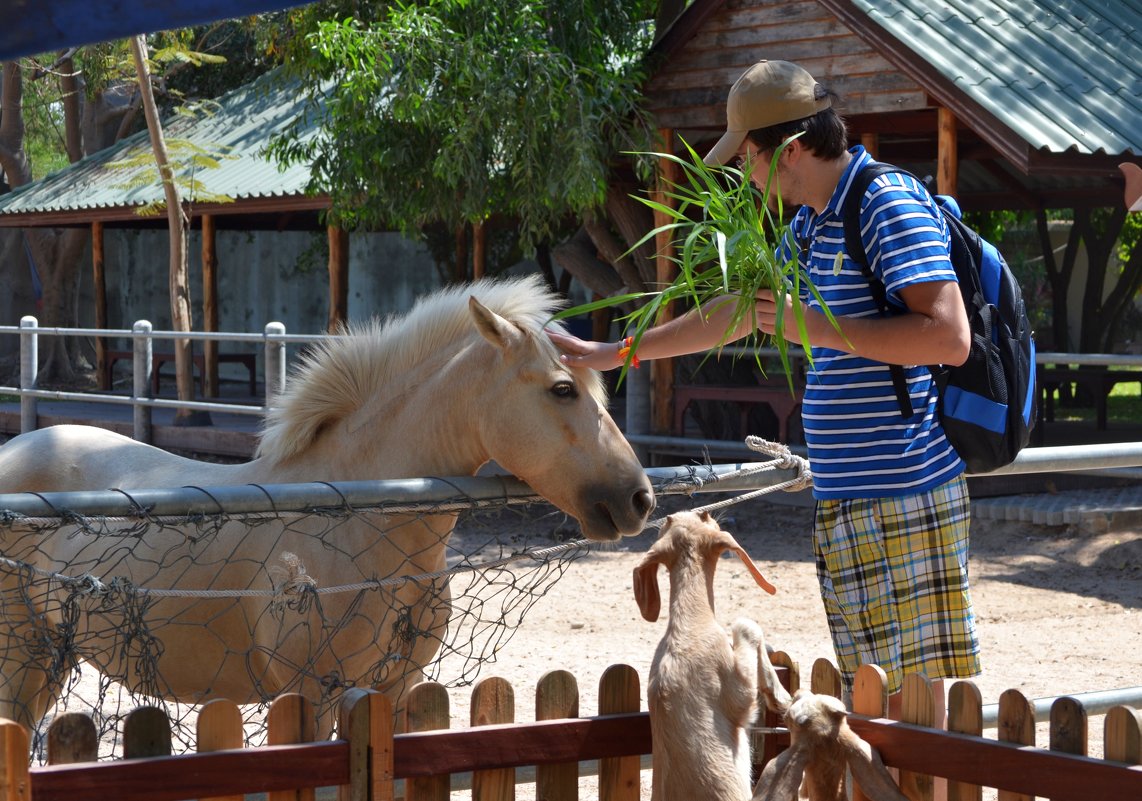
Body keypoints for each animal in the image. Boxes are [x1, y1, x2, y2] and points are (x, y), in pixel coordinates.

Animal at [0, 275, 657, 731]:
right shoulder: (312, 698)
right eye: (563, 389)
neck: (356, 515)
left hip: (48, 662)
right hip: (21, 662)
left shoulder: (395, 692)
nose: (639, 498)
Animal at [634, 509, 794, 799]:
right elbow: (746, 624)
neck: (690, 623)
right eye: (705, 517)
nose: (710, 512)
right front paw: (780, 695)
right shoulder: (739, 696)